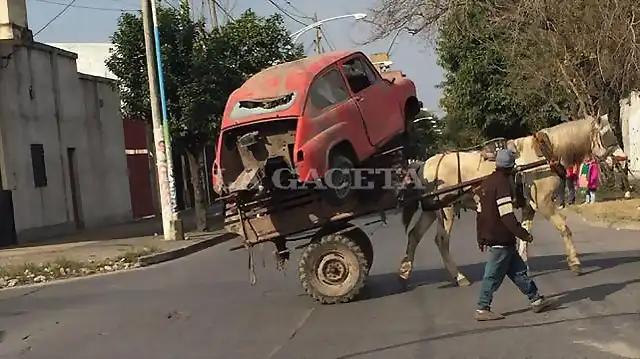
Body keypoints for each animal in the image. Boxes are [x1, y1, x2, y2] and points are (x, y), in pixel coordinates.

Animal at [398, 115, 628, 286]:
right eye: (606, 134)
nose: (622, 157)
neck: (546, 153)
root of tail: (423, 164)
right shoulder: (544, 203)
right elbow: (564, 228)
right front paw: (575, 263)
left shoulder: (529, 206)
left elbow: (524, 235)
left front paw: (522, 266)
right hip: (446, 208)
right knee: (441, 240)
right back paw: (459, 277)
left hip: (431, 209)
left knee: (414, 235)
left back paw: (405, 272)